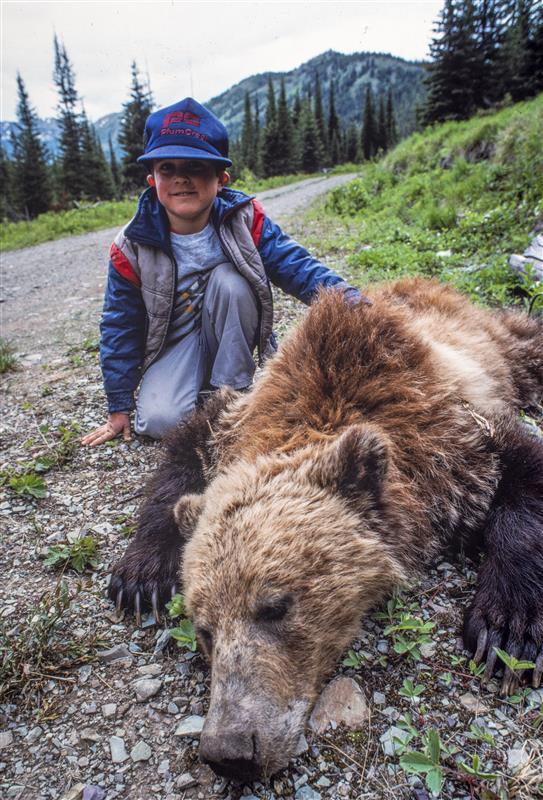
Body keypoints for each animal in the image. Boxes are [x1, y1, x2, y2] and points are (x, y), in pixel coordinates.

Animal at [108, 278, 540, 780]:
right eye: (205, 630)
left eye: (275, 607)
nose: (230, 750)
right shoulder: (234, 422)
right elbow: (181, 457)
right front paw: (140, 577)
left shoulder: (449, 439)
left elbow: (522, 466)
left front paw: (506, 627)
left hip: (492, 345)